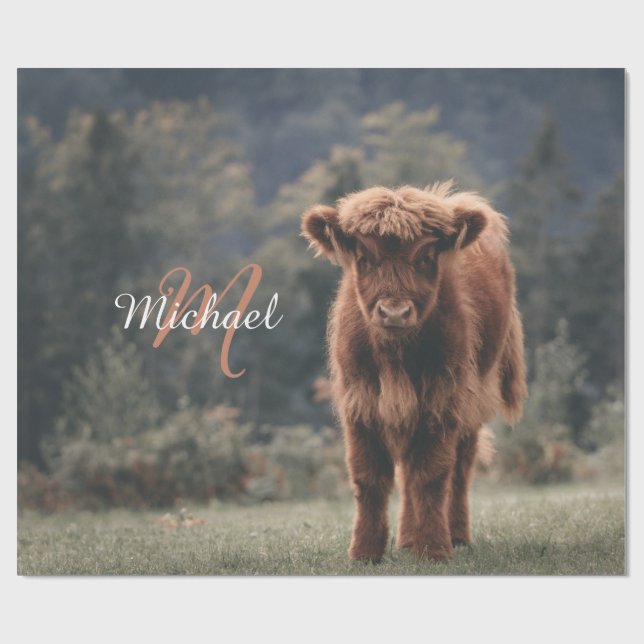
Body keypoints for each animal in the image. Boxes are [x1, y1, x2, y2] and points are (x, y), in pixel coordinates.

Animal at [301, 182, 527, 562]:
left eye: (424, 257)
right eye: (365, 258)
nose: (394, 312)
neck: (396, 357)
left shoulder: (442, 397)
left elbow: (432, 475)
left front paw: (434, 548)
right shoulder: (360, 401)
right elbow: (369, 476)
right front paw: (364, 552)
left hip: (474, 397)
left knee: (460, 467)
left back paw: (455, 535)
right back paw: (407, 540)